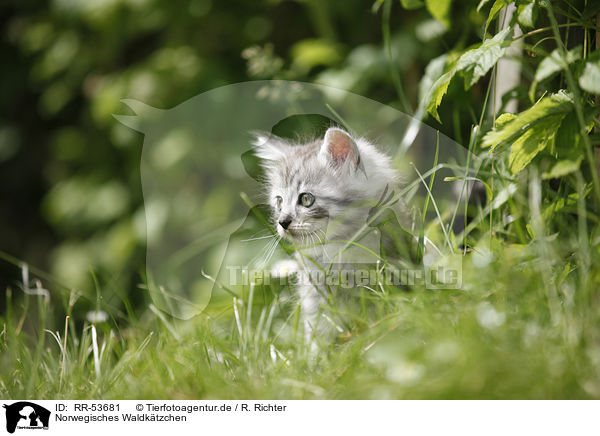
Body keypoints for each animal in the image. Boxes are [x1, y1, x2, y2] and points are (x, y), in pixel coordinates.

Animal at [253, 127, 404, 342]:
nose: (282, 222)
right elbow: (318, 330)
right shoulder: (314, 294)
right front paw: (317, 351)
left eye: (306, 199)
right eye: (279, 202)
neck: (337, 249)